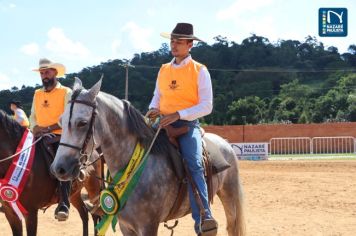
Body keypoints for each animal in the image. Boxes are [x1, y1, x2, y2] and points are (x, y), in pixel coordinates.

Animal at [50, 79, 245, 236]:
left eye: (82, 123)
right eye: (60, 121)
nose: (59, 168)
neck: (135, 166)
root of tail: (224, 142)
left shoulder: (148, 226)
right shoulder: (126, 226)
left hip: (230, 196)